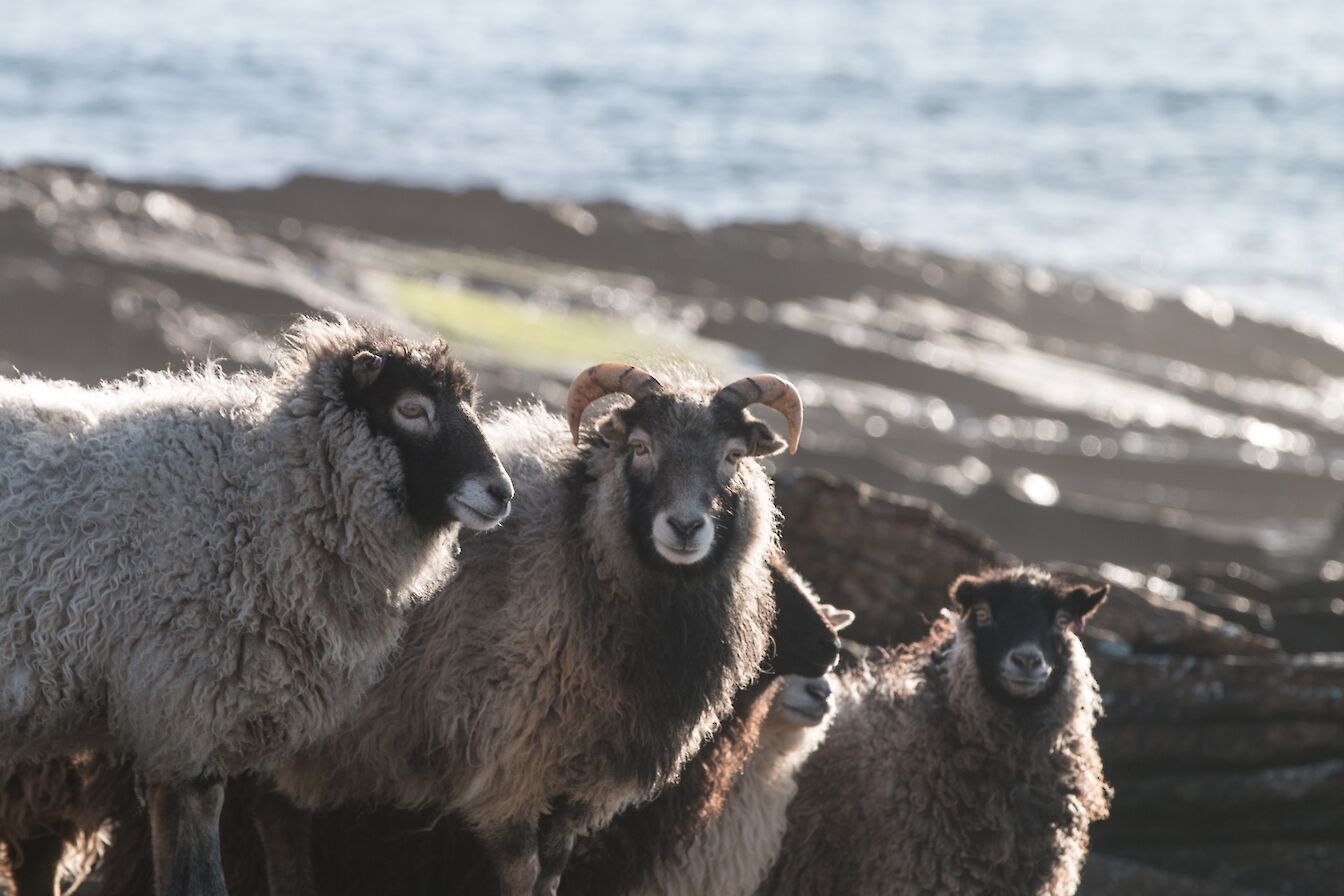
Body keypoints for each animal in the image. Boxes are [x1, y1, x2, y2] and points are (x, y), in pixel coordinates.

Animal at [0, 316, 514, 896]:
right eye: (411, 409)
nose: (501, 493)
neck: (260, 495)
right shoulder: (192, 690)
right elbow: (202, 819)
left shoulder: (169, 709)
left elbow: (168, 817)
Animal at [268, 362, 806, 896]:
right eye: (640, 447)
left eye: (732, 456)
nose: (686, 527)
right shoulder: (509, 773)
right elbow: (523, 874)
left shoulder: (580, 785)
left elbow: (552, 873)